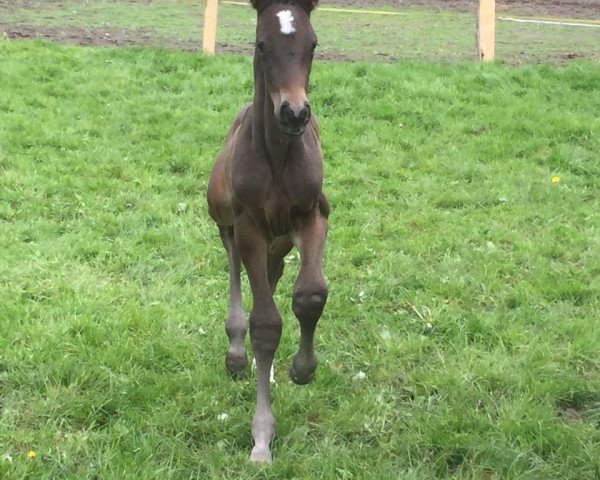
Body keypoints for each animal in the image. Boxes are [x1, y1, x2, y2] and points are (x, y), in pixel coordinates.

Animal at [206, 0, 328, 464]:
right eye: (261, 44)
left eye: (313, 44)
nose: (294, 113)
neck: (278, 155)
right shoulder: (249, 228)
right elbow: (264, 325)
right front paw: (261, 437)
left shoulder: (313, 216)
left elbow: (309, 296)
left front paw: (301, 369)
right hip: (227, 222)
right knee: (237, 275)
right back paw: (237, 355)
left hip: (279, 242)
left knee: (274, 280)